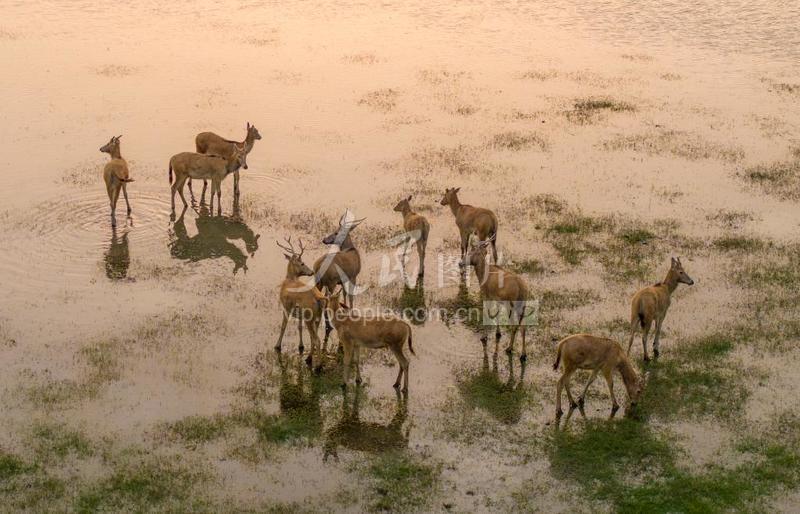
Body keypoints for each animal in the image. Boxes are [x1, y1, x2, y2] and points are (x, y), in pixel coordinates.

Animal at [276, 236, 324, 368]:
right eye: (302, 263)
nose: (311, 272)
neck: (289, 280)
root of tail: (319, 298)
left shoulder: (286, 306)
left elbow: (283, 326)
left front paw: (277, 346)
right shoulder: (299, 313)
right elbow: (299, 327)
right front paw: (301, 345)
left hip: (309, 315)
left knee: (316, 339)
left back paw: (318, 365)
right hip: (316, 316)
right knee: (314, 337)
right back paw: (309, 358)